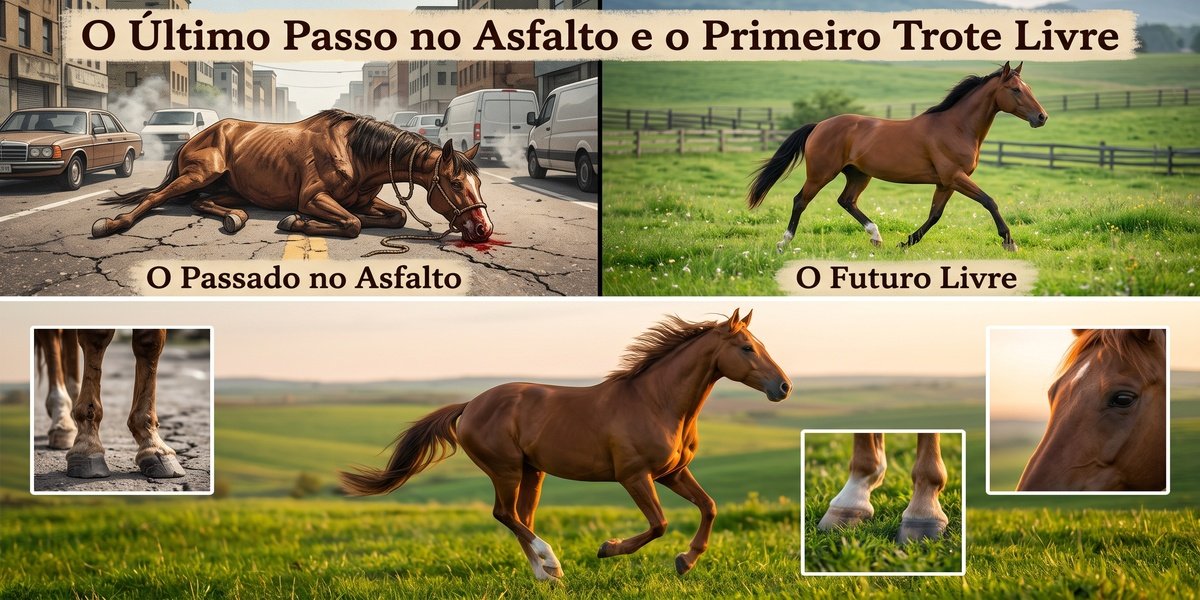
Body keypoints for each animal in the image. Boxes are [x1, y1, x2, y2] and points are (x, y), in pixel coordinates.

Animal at [90, 109, 493, 243]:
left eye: (479, 183)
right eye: (456, 183)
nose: (483, 229)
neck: (355, 152)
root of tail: (201, 134)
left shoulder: (365, 198)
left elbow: (392, 216)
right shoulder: (313, 197)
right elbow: (351, 224)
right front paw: (297, 222)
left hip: (231, 189)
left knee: (204, 204)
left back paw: (235, 218)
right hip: (200, 174)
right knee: (156, 198)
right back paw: (112, 224)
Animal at [339, 309, 791, 581]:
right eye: (747, 348)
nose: (783, 387)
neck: (657, 402)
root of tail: (469, 405)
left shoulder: (672, 473)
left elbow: (709, 507)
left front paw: (686, 560)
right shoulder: (635, 476)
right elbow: (659, 524)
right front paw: (608, 549)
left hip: (531, 471)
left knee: (520, 517)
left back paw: (546, 574)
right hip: (505, 469)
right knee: (505, 514)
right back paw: (551, 561)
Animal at [748, 61, 1047, 253]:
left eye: (1029, 87)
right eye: (1016, 90)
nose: (1041, 117)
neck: (956, 127)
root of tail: (819, 125)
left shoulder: (945, 183)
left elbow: (935, 215)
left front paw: (906, 242)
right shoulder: (955, 177)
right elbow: (989, 201)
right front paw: (1009, 242)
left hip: (859, 174)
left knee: (846, 201)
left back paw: (877, 237)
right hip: (821, 173)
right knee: (800, 200)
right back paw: (784, 243)